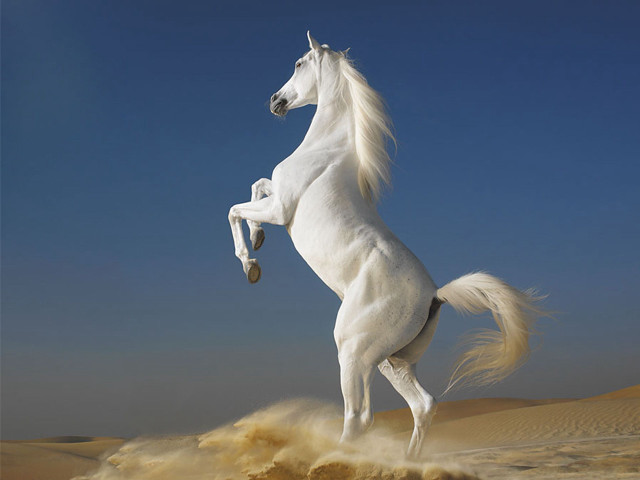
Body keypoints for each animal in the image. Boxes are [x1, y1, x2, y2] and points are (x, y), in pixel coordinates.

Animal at [228, 32, 545, 458]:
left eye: (298, 63)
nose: (276, 101)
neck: (326, 150)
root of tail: (435, 295)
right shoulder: (275, 198)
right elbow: (257, 185)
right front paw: (259, 239)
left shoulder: (281, 209)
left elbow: (236, 208)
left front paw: (251, 264)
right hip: (390, 361)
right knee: (423, 405)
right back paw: (407, 461)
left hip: (353, 351)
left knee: (360, 417)